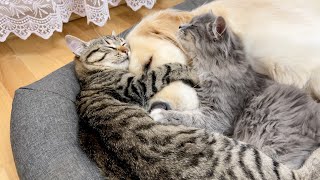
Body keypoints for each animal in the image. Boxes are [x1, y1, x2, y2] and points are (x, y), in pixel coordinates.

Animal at [150, 11, 320, 169]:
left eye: (193, 26)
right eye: (189, 23)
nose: (180, 27)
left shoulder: (217, 117)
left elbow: (187, 117)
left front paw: (160, 113)